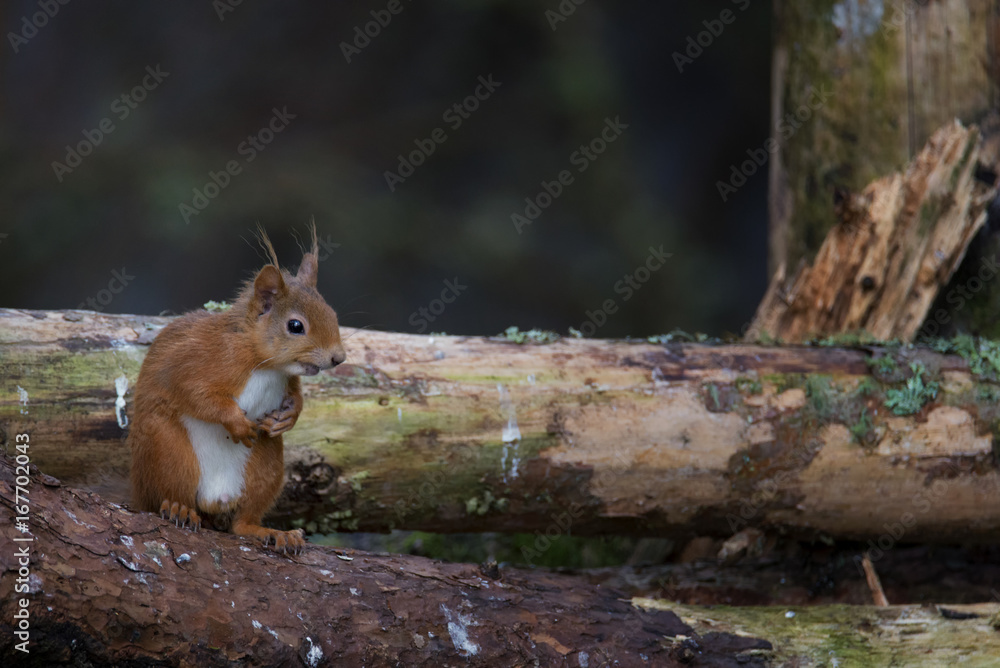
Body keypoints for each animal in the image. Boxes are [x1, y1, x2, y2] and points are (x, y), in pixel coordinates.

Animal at [128, 225, 345, 553]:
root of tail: (216, 498)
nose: (338, 358)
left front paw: (288, 417)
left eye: (333, 314)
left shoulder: (287, 380)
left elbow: (296, 397)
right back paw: (180, 509)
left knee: (241, 523)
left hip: (265, 466)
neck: (264, 363)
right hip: (167, 450)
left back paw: (269, 532)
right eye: (296, 326)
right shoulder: (196, 362)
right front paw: (237, 423)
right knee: (167, 495)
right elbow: (198, 395)